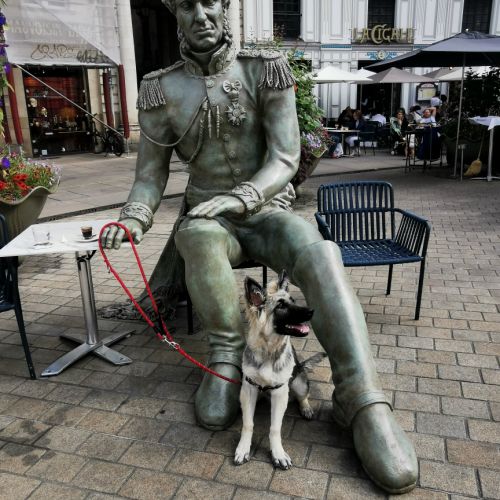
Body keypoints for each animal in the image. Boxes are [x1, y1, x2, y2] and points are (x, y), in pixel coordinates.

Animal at [234, 271, 326, 470]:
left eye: (293, 300)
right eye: (281, 306)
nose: (312, 311)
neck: (268, 351)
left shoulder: (279, 393)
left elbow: (275, 428)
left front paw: (278, 453)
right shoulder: (248, 389)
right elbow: (248, 423)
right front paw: (243, 448)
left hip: (299, 382)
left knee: (303, 396)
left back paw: (306, 408)